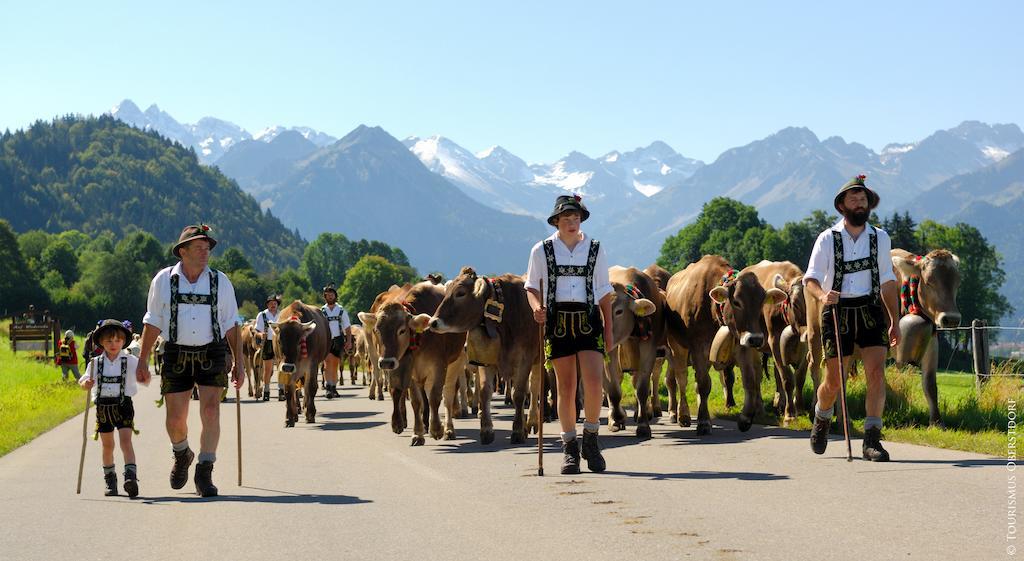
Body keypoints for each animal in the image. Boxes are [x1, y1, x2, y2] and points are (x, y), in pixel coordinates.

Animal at [362, 282, 466, 444]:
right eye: (376, 330)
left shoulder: (439, 366)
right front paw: (417, 434)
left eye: (402, 330)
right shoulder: (409, 370)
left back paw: (448, 429)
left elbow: (435, 397)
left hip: (457, 360)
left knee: (448, 393)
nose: (386, 362)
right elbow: (416, 401)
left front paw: (437, 429)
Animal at [428, 270, 540, 444]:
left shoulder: (525, 359)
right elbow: (485, 391)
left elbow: (519, 394)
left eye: (460, 293)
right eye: (446, 292)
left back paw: (531, 422)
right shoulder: (486, 360)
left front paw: (517, 431)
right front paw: (487, 430)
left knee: (534, 387)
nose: (433, 322)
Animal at [602, 266, 659, 436]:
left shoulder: (649, 347)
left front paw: (643, 425)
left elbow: (642, 389)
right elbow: (613, 390)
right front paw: (617, 419)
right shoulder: (609, 351)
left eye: (619, 311)